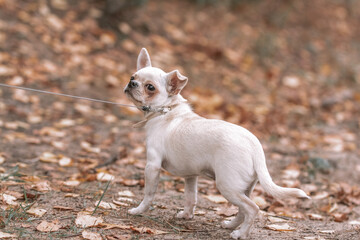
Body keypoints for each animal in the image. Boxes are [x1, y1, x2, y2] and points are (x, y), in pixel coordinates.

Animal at [124, 47, 310, 239]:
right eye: (132, 77)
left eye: (150, 87)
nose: (132, 83)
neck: (166, 110)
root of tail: (255, 146)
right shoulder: (191, 176)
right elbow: (191, 197)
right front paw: (186, 216)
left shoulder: (152, 166)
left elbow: (148, 194)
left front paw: (138, 210)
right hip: (243, 188)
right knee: (243, 210)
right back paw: (231, 225)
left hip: (227, 185)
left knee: (252, 209)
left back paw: (240, 234)